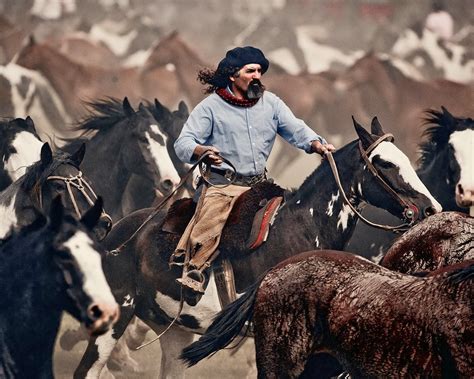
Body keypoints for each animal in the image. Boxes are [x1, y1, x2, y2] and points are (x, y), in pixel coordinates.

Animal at [74, 117, 440, 378]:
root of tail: (117, 236)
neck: (301, 229)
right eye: (385, 163)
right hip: (116, 316)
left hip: (174, 331)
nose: (431, 208)